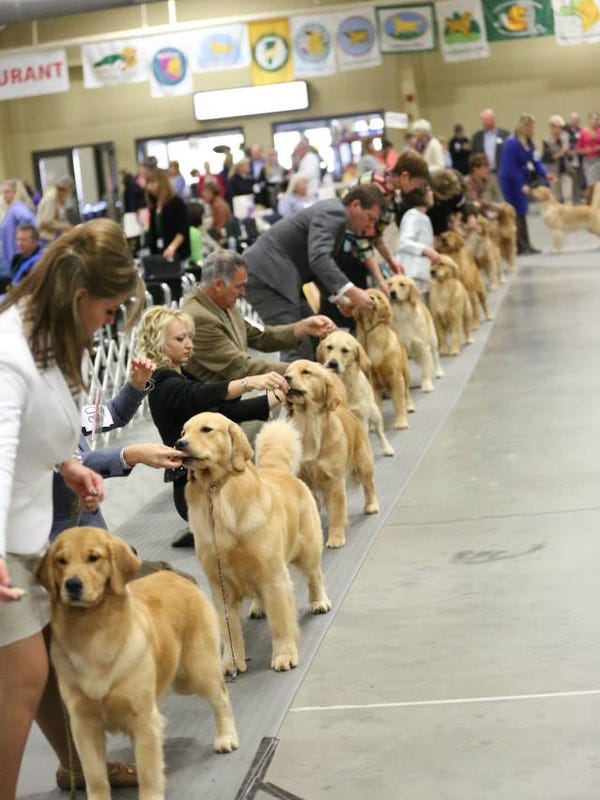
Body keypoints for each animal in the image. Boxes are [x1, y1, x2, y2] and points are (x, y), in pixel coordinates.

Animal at [37, 524, 239, 800]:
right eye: (61, 561)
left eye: (93, 557)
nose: (73, 584)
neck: (92, 631)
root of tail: (177, 577)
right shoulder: (84, 725)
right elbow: (95, 778)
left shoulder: (142, 721)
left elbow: (148, 775)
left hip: (196, 671)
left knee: (222, 697)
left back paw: (226, 737)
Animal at [180, 412, 330, 676]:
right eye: (183, 432)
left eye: (206, 429)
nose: (179, 444)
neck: (215, 492)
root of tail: (277, 469)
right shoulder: (220, 584)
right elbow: (229, 630)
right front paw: (231, 663)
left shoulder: (273, 575)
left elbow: (280, 622)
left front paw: (284, 655)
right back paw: (259, 608)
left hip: (308, 550)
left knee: (315, 576)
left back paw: (319, 602)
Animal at [284, 360, 378, 552]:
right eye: (288, 371)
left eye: (306, 372)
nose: (286, 378)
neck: (308, 425)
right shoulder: (305, 481)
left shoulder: (334, 480)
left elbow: (336, 513)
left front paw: (336, 538)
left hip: (363, 463)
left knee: (369, 484)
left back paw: (371, 505)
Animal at [354, 286, 414, 428]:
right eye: (366, 293)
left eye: (379, 297)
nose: (371, 299)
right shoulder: (372, 381)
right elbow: (376, 405)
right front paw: (373, 426)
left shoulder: (396, 377)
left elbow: (399, 403)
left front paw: (401, 422)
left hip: (405, 373)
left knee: (406, 392)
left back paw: (409, 406)